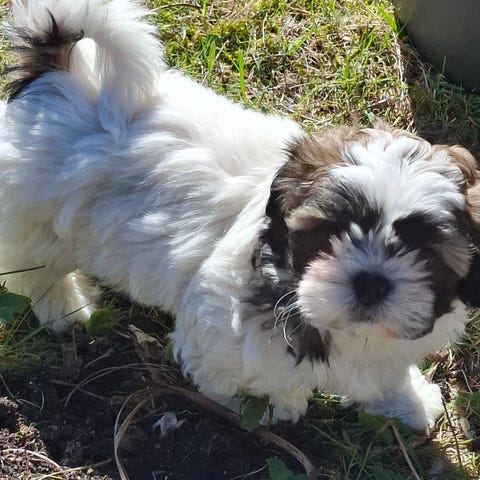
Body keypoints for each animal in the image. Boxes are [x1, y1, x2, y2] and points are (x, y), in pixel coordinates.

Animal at [1, 0, 480, 431]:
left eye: (426, 252)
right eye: (329, 233)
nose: (371, 281)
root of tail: (59, 77)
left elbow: (382, 373)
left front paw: (407, 401)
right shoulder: (218, 326)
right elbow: (233, 380)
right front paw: (270, 405)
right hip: (35, 219)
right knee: (34, 270)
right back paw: (66, 307)